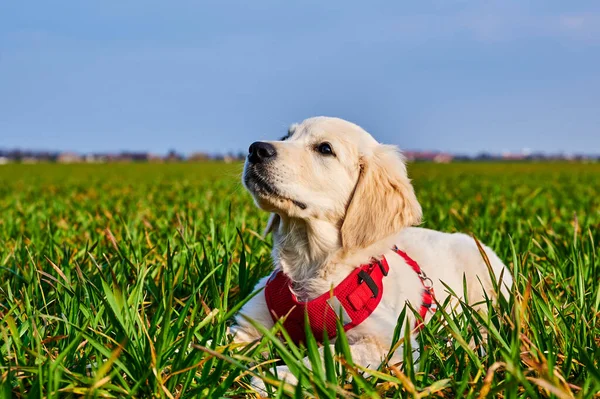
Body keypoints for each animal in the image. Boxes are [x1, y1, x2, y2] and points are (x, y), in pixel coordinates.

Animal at [232, 117, 512, 392]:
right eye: (285, 137)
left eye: (325, 148)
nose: (256, 149)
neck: (309, 263)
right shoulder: (250, 324)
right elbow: (227, 342)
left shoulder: (390, 342)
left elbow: (328, 355)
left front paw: (276, 378)